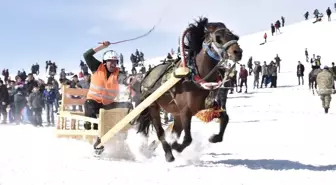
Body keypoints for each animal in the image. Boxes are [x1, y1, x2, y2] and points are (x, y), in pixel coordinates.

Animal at [133, 17, 242, 162]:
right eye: (218, 37)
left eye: (234, 36)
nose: (238, 52)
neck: (194, 77)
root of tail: (146, 75)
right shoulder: (185, 111)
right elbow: (188, 139)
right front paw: (176, 147)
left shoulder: (208, 105)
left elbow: (225, 118)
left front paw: (214, 138)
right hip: (153, 107)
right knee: (160, 132)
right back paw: (168, 153)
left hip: (175, 112)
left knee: (175, 131)